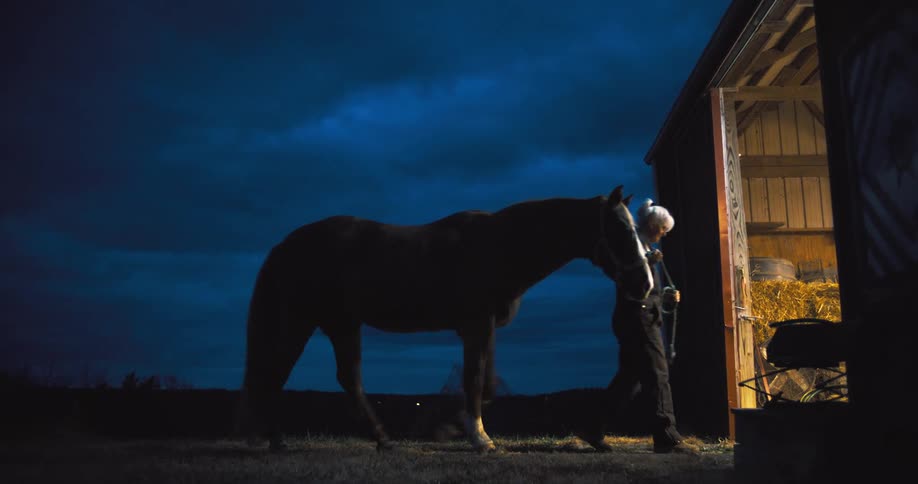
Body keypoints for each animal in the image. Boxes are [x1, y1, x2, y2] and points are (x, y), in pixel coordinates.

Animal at [237, 184, 652, 453]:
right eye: (620, 229)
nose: (645, 284)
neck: (500, 246)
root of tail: (286, 245)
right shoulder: (476, 326)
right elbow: (474, 381)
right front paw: (478, 438)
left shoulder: (484, 329)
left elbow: (486, 384)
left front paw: (455, 427)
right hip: (305, 322)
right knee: (280, 373)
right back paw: (277, 440)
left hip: (336, 325)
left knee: (328, 377)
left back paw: (367, 439)